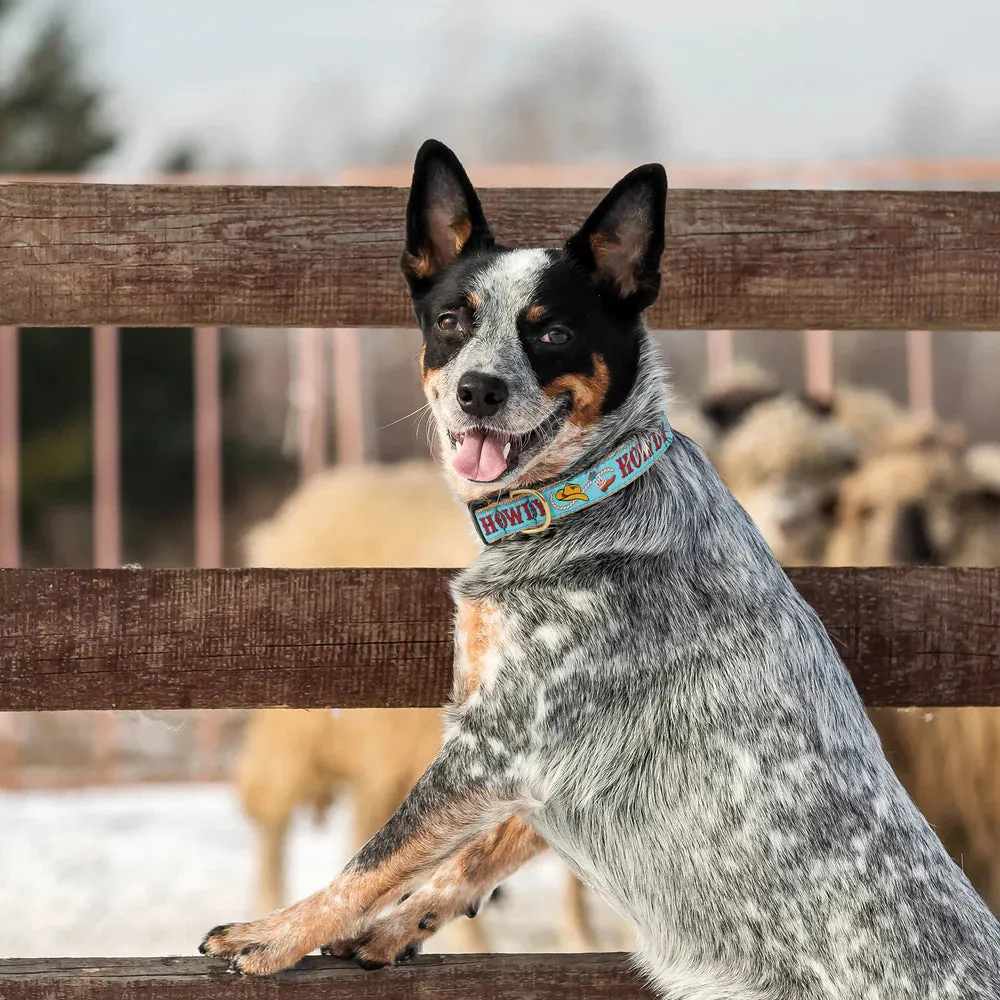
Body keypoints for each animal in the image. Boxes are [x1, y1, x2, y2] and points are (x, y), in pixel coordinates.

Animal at [201, 141, 1000, 1000]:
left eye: (551, 333)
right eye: (452, 320)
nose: (478, 390)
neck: (589, 495)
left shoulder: (498, 744)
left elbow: (375, 856)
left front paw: (275, 936)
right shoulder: (533, 769)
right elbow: (467, 858)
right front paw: (389, 931)